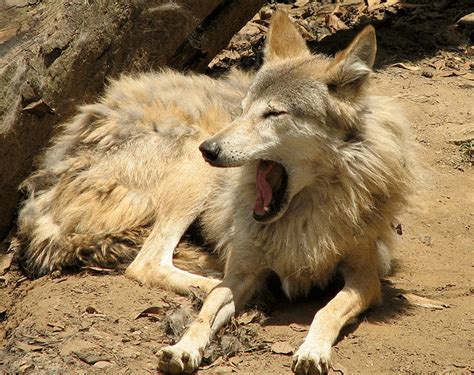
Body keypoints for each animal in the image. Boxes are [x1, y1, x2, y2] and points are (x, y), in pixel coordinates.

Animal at [16, 11, 414, 375]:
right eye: (241, 111)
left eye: (273, 114)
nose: (209, 149)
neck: (303, 216)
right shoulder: (242, 270)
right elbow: (208, 310)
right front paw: (184, 347)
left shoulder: (366, 276)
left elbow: (326, 310)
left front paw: (313, 350)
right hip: (195, 175)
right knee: (147, 264)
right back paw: (212, 285)